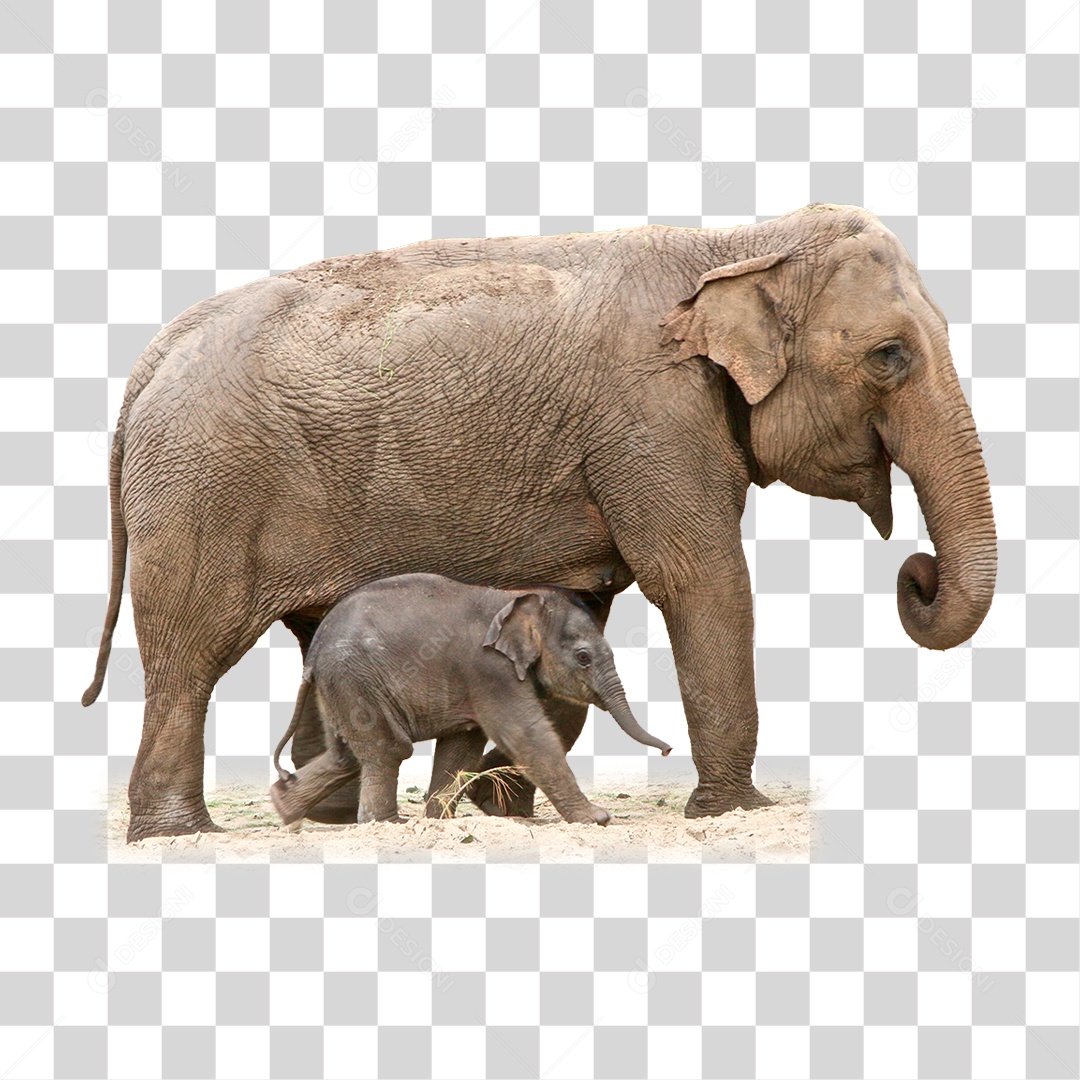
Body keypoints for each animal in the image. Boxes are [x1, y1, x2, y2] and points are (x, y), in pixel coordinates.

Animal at [268, 573, 672, 827]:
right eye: (584, 657)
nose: (668, 751)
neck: (517, 598)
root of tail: (313, 655)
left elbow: (461, 746)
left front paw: (438, 821)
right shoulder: (488, 670)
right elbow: (525, 734)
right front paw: (597, 819)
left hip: (341, 685)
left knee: (347, 755)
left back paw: (284, 809)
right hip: (355, 679)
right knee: (388, 749)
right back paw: (385, 823)